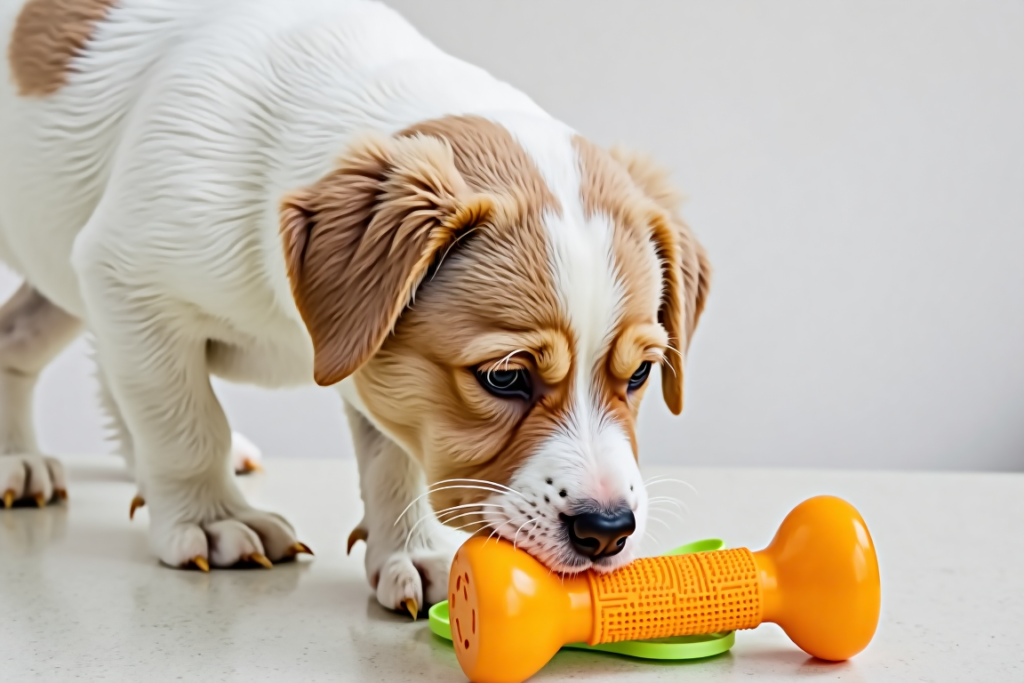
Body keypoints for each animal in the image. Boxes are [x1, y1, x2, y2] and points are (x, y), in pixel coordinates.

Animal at [0, 0, 704, 618]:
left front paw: (412, 552)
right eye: (504, 377)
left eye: (641, 374)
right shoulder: (128, 279)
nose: (607, 531)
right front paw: (212, 519)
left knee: (25, 340)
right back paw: (23, 462)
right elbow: (186, 422)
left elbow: (392, 452)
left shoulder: (381, 364)